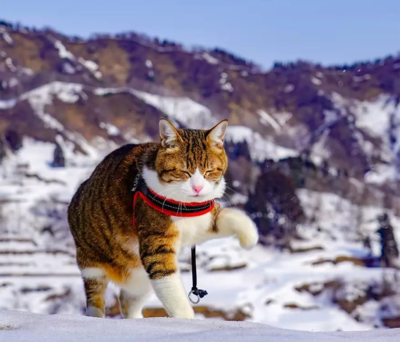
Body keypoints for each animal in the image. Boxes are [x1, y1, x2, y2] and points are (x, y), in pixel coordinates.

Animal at [67, 119, 258, 320]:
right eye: (184, 171)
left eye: (209, 171)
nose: (197, 188)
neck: (185, 204)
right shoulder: (157, 244)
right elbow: (170, 286)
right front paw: (187, 320)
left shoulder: (201, 222)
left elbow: (230, 216)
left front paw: (249, 238)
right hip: (91, 264)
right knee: (95, 297)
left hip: (141, 278)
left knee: (127, 301)